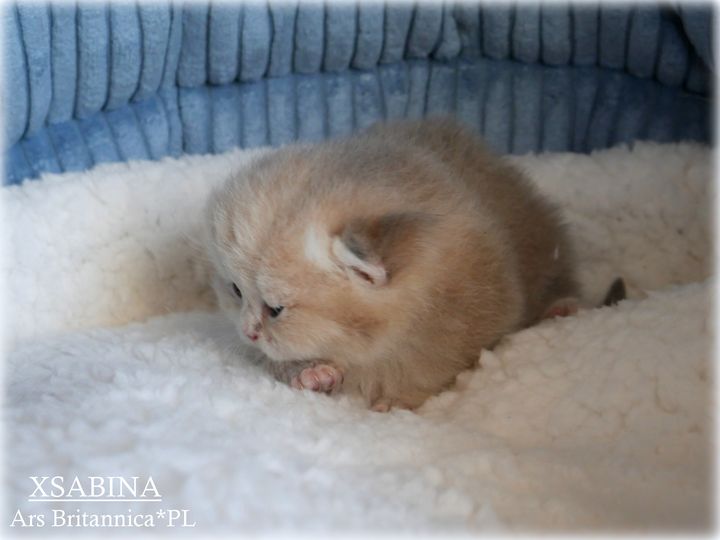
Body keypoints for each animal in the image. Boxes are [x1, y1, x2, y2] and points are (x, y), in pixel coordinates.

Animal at [203, 118, 579, 411]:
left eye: (276, 309)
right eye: (236, 291)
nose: (248, 332)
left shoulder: (465, 320)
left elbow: (427, 365)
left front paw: (396, 400)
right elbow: (275, 359)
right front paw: (310, 372)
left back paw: (560, 307)